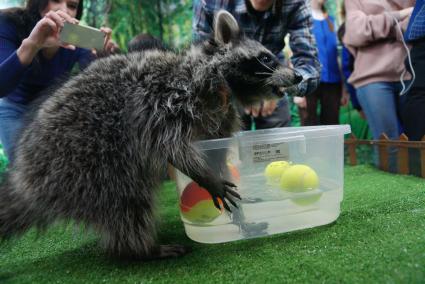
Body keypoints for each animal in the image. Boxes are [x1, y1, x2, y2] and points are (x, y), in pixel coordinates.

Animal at [1, 11, 304, 260]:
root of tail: (25, 180)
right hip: (83, 160)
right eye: (266, 58)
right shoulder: (165, 97)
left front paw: (240, 217)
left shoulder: (219, 121)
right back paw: (140, 249)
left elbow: (216, 158)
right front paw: (207, 178)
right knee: (127, 201)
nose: (299, 76)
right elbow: (169, 144)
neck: (223, 85)